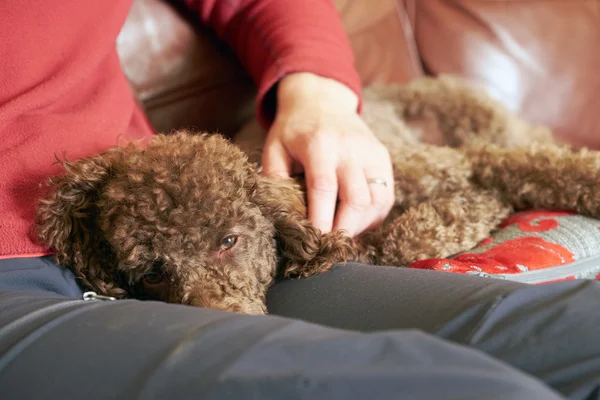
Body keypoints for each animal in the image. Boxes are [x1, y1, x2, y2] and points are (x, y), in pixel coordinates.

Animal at [35, 75, 600, 312]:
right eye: (152, 274)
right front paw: (475, 209)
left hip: (473, 118)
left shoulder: (446, 164)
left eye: (228, 241)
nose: (224, 317)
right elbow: (402, 240)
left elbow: (531, 168)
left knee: (532, 143)